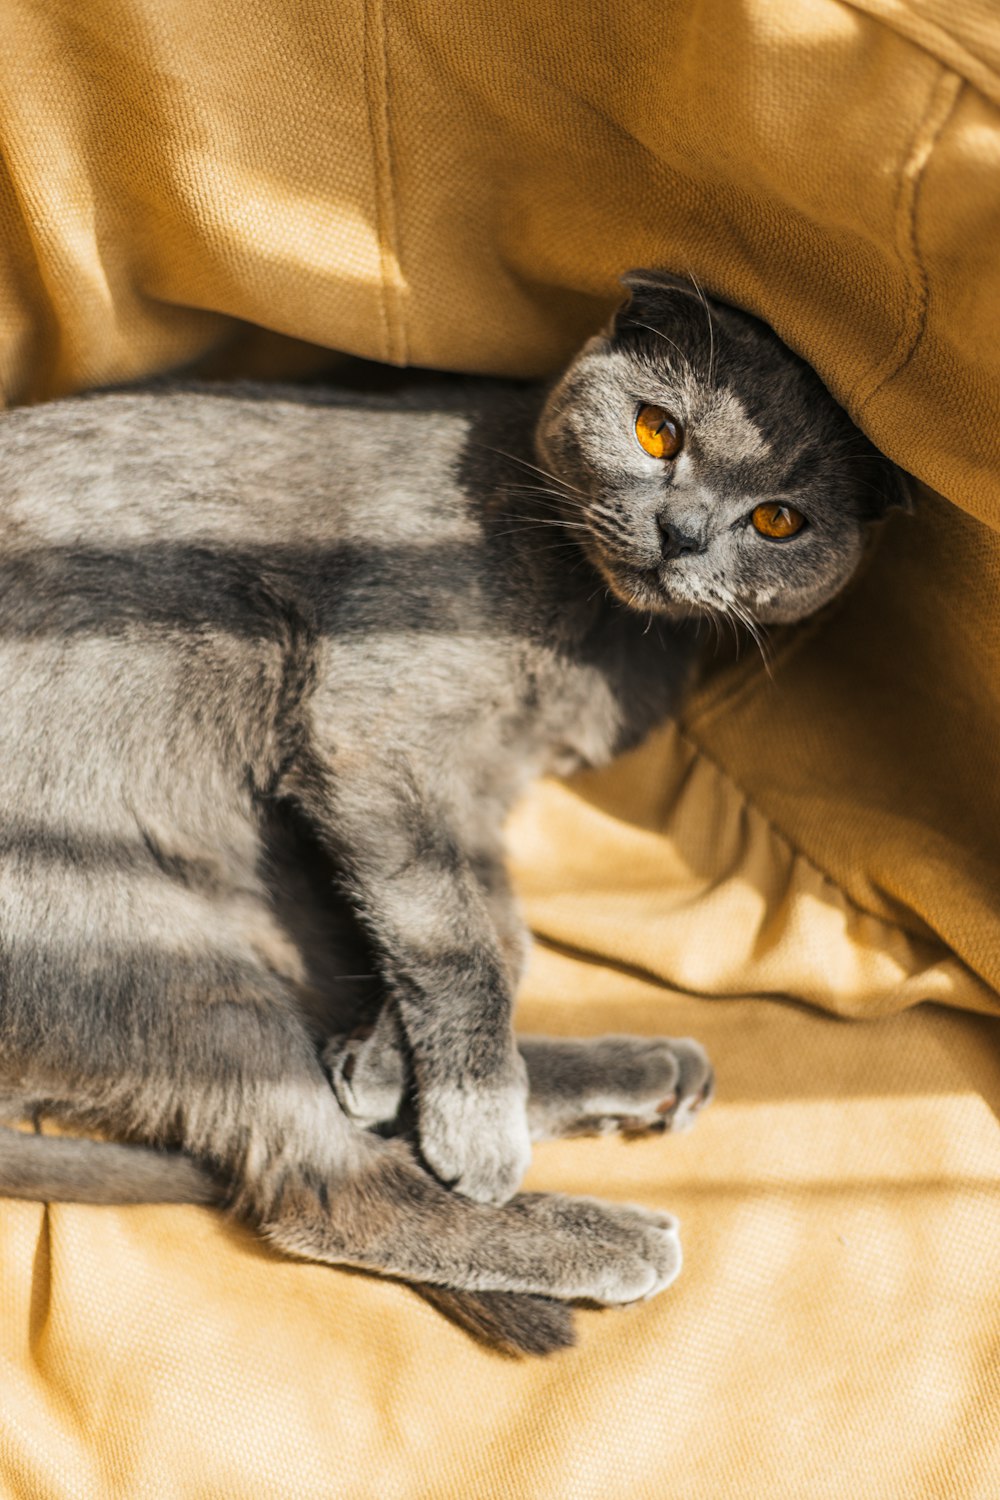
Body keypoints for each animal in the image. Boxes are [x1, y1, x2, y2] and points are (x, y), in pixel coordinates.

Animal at [0, 276, 905, 1356]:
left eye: (777, 520)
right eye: (659, 431)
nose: (682, 530)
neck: (594, 631)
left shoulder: (477, 786)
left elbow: (495, 933)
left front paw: (408, 1071)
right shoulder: (379, 732)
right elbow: (462, 938)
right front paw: (464, 1114)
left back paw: (636, 1073)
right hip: (155, 952)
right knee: (329, 1192)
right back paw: (599, 1225)